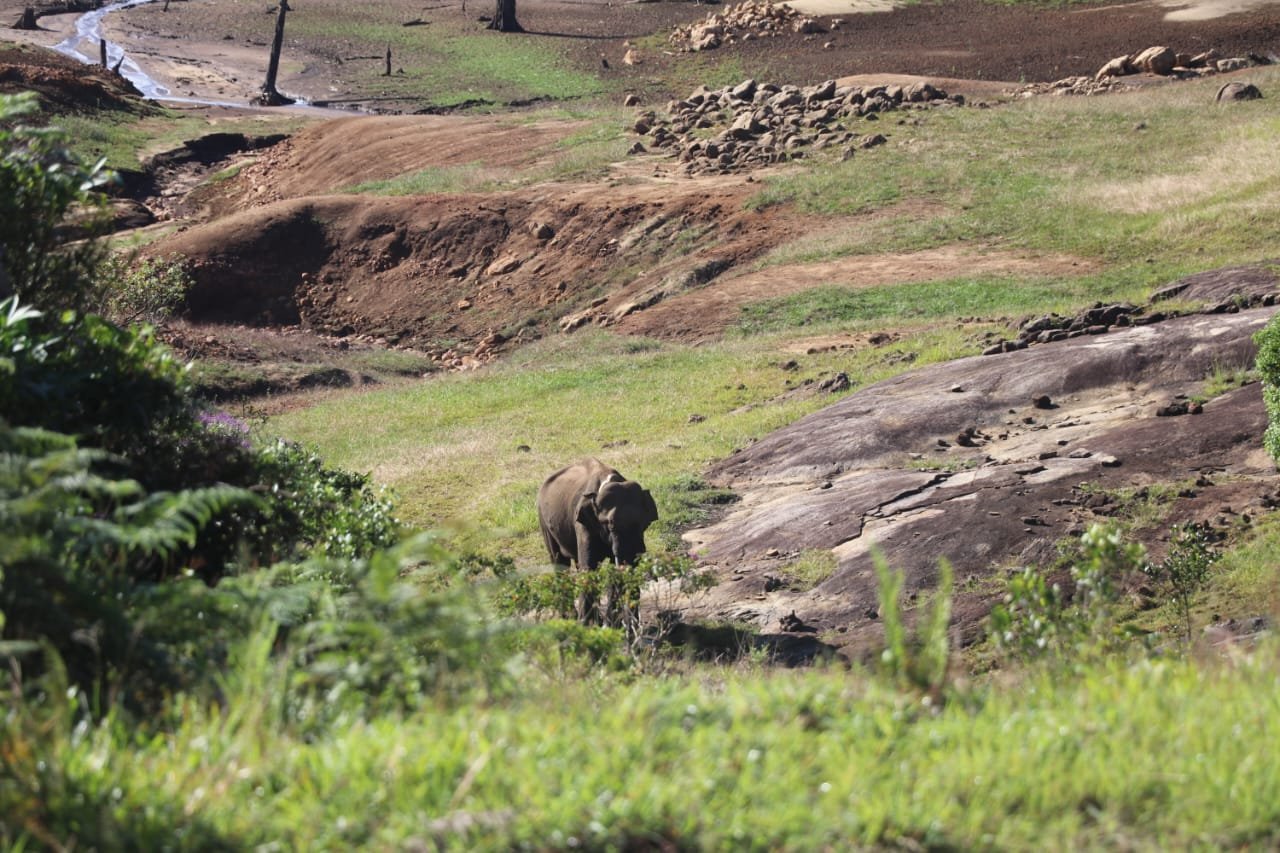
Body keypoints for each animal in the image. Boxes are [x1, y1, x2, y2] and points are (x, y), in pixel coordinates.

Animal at [537, 458, 659, 625]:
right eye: (611, 525)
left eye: (644, 525)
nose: (633, 624)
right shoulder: (583, 525)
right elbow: (589, 569)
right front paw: (586, 626)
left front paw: (611, 625)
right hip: (544, 521)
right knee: (559, 561)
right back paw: (570, 617)